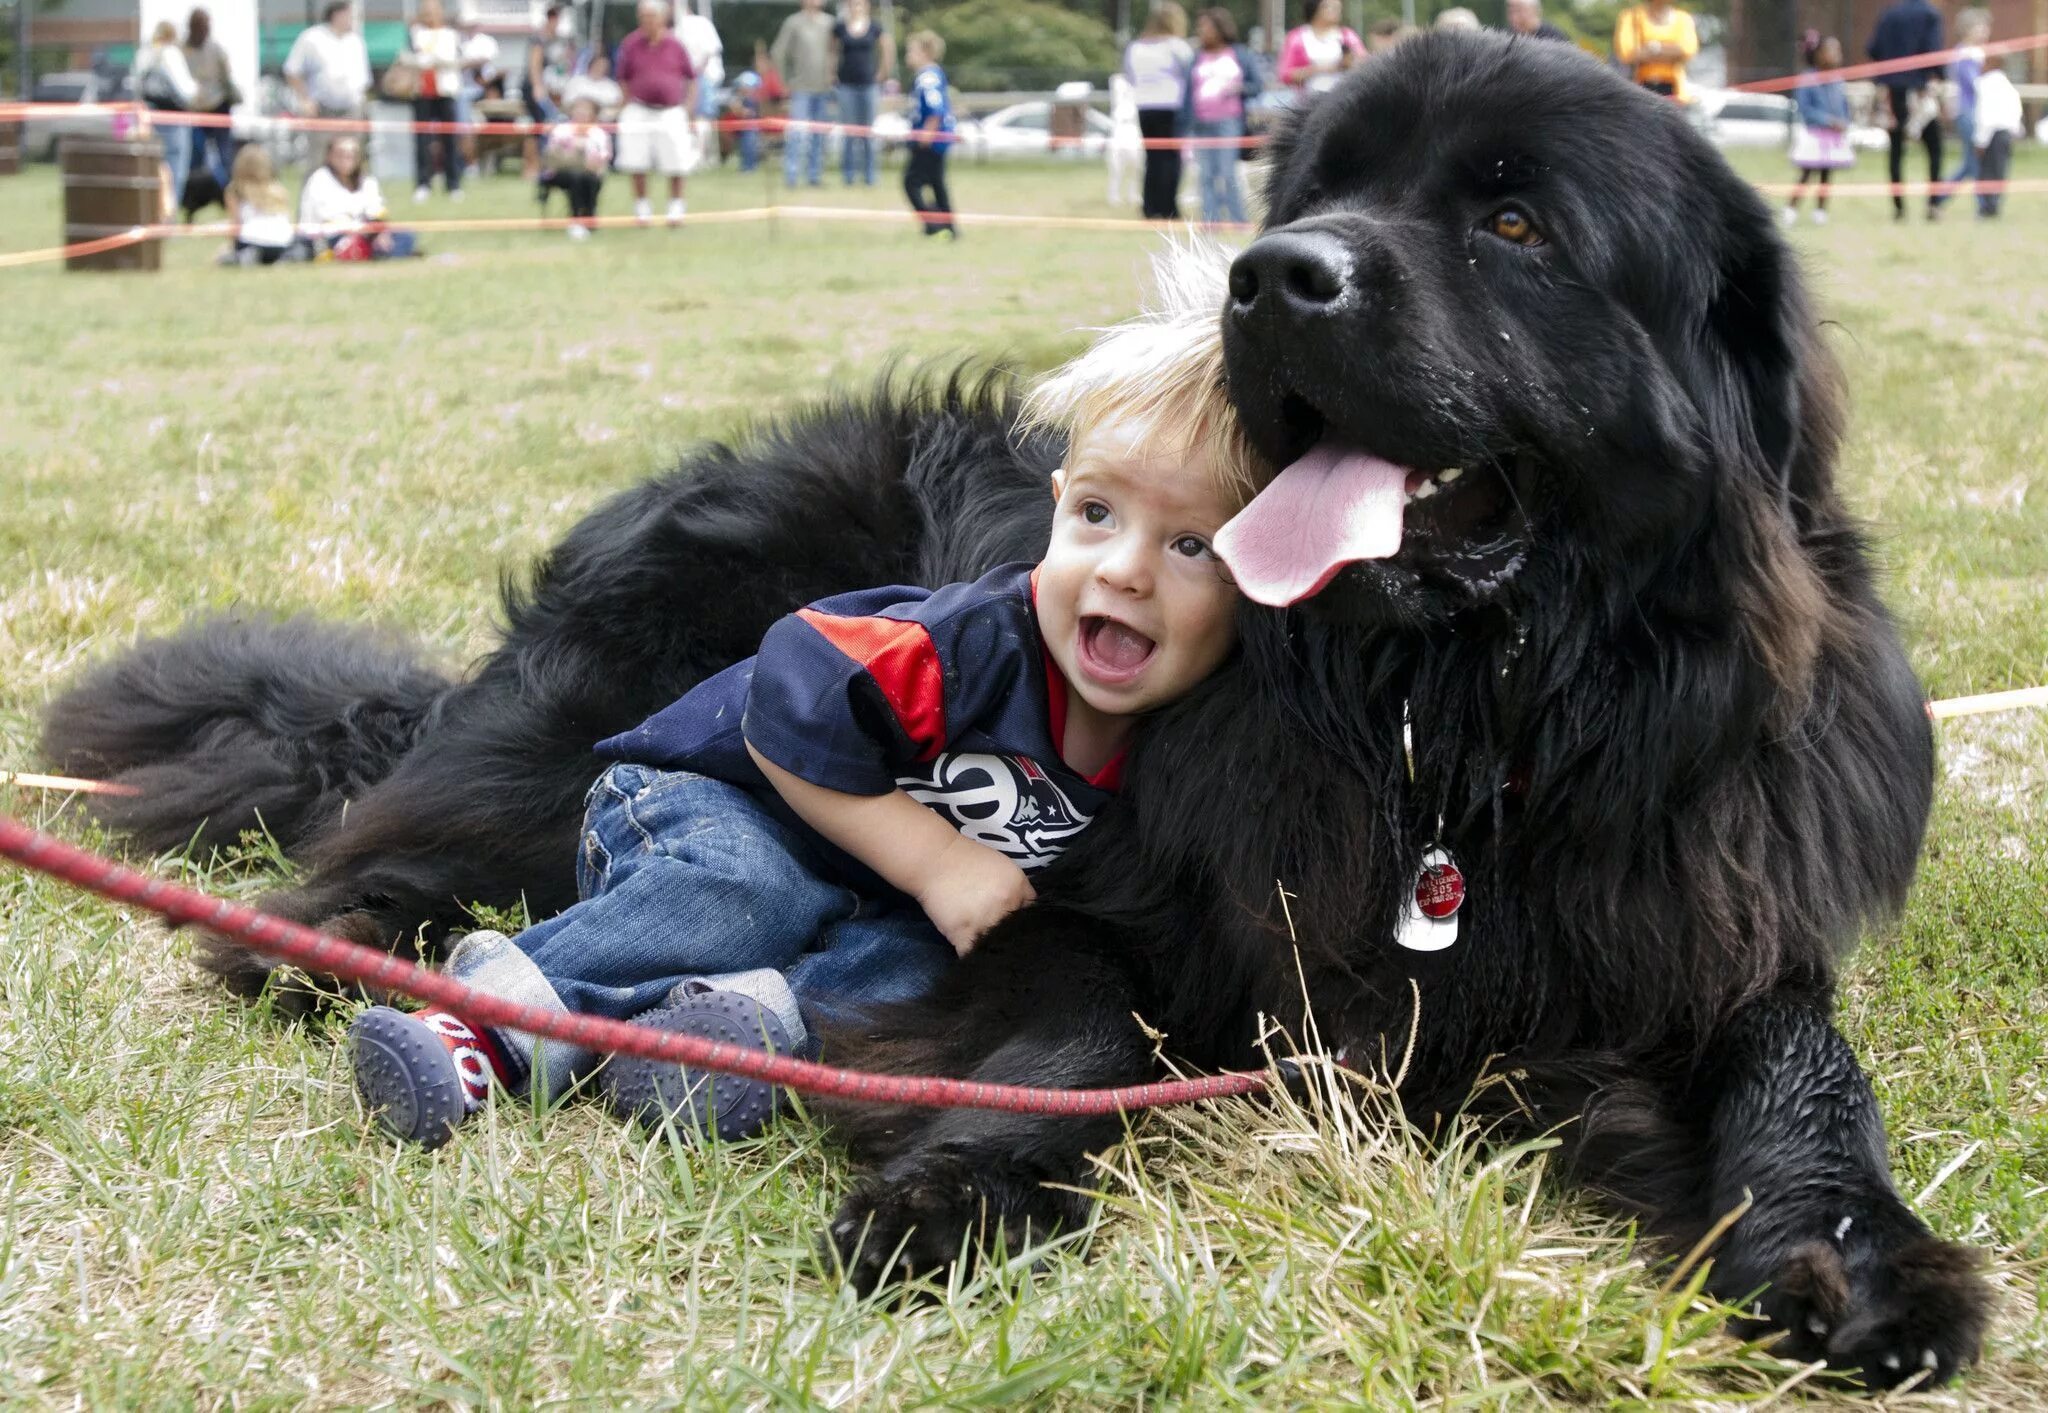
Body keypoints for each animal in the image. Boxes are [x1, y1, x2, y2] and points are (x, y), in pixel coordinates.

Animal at [48, 33, 1990, 1384]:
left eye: (1512, 222)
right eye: (1314, 186)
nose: (1274, 272)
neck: (1445, 729)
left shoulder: (1695, 915)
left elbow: (1800, 1058)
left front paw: (1862, 1256)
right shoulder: (1096, 901)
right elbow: (1079, 1025)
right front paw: (954, 1192)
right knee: (417, 843)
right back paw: (364, 958)